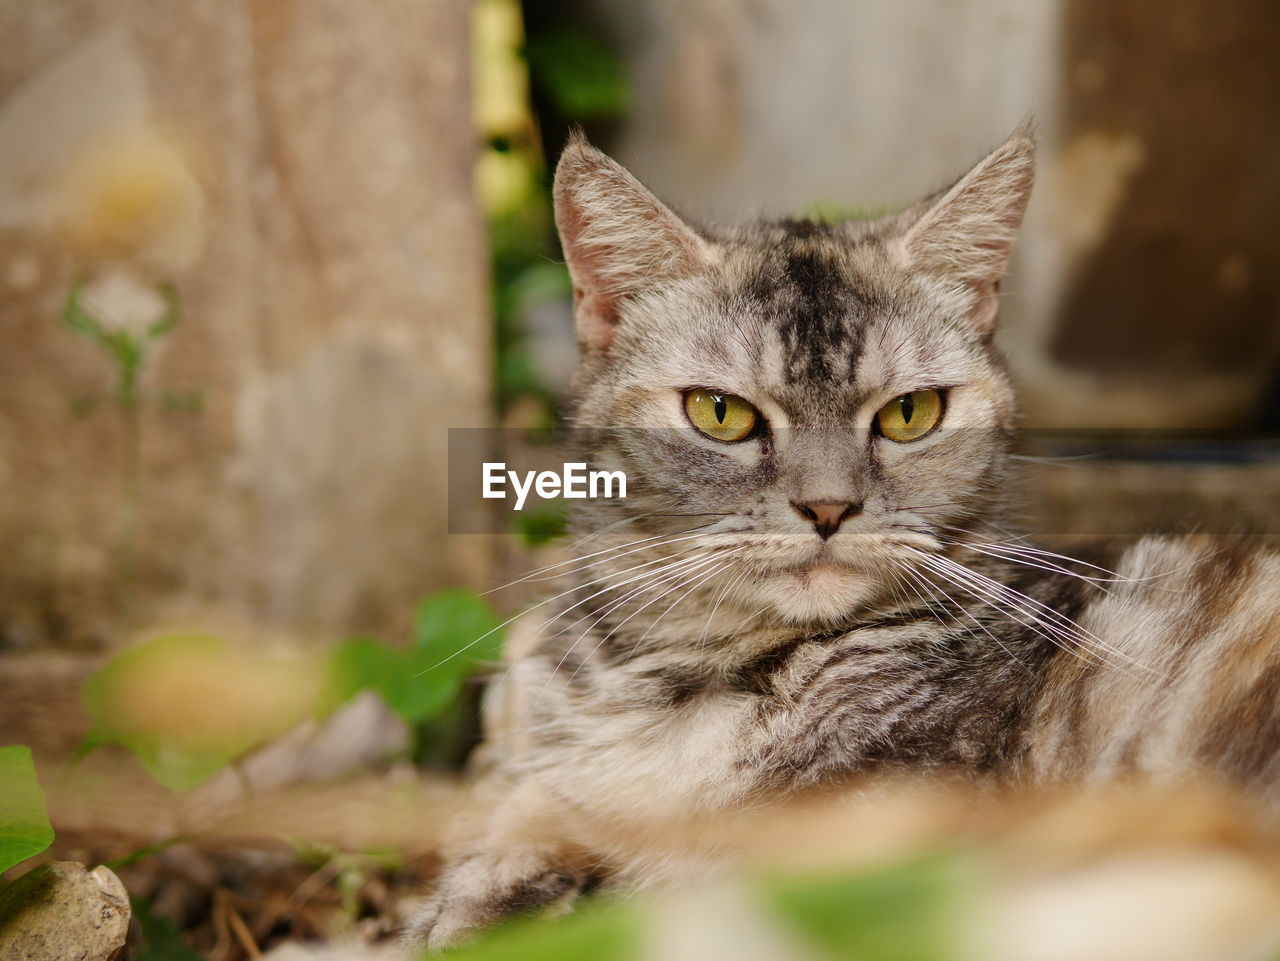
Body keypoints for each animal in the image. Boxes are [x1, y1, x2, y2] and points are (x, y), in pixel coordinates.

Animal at [404, 126, 1280, 946]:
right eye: (720, 413)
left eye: (910, 414)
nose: (829, 507)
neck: (673, 679)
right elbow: (521, 824)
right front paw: (485, 896)